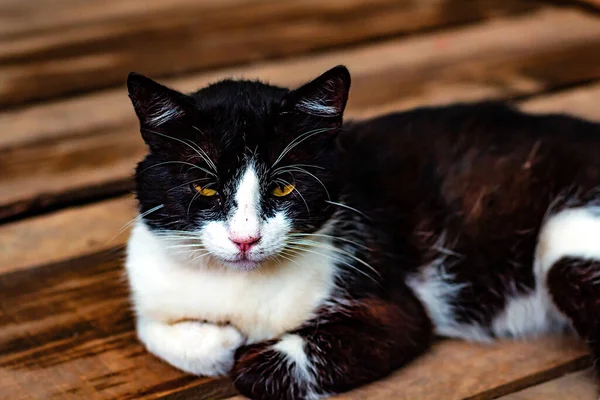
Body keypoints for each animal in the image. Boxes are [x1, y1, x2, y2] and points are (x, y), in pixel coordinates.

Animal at [124, 66, 600, 400]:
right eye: (205, 187)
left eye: (283, 187)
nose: (246, 239)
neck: (237, 286)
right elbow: (148, 328)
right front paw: (216, 339)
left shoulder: (389, 300)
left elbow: (253, 366)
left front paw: (241, 347)